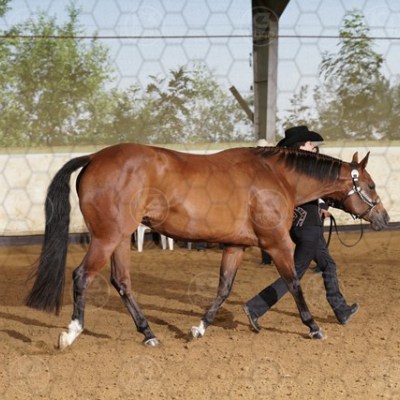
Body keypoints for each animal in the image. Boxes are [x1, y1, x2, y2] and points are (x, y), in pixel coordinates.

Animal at [25, 144, 389, 349]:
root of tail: (94, 157)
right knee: (82, 276)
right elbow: (294, 282)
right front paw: (314, 327)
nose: (384, 218)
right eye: (371, 184)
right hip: (107, 237)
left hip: (120, 239)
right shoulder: (277, 243)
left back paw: (148, 333)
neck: (277, 177)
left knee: (122, 282)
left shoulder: (235, 245)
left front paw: (199, 328)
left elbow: (224, 288)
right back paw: (71, 333)